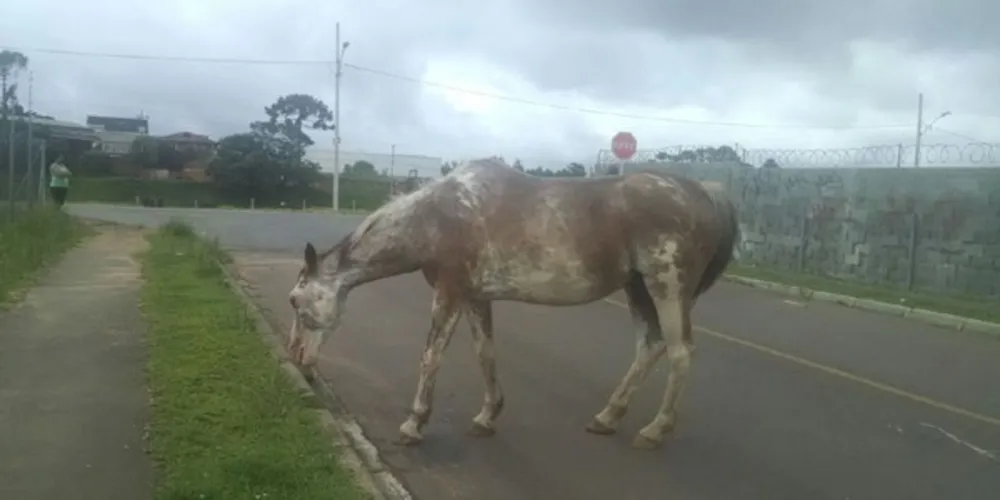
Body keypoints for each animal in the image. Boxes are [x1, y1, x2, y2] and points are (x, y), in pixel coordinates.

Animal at [286, 157, 740, 450]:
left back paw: (654, 430)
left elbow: (431, 356)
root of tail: (708, 194)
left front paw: (414, 424)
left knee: (680, 352)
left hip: (667, 286)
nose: (297, 358)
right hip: (639, 289)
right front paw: (487, 417)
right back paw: (607, 417)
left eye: (295, 300)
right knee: (650, 346)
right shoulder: (475, 297)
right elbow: (485, 353)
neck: (437, 217)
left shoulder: (450, 292)